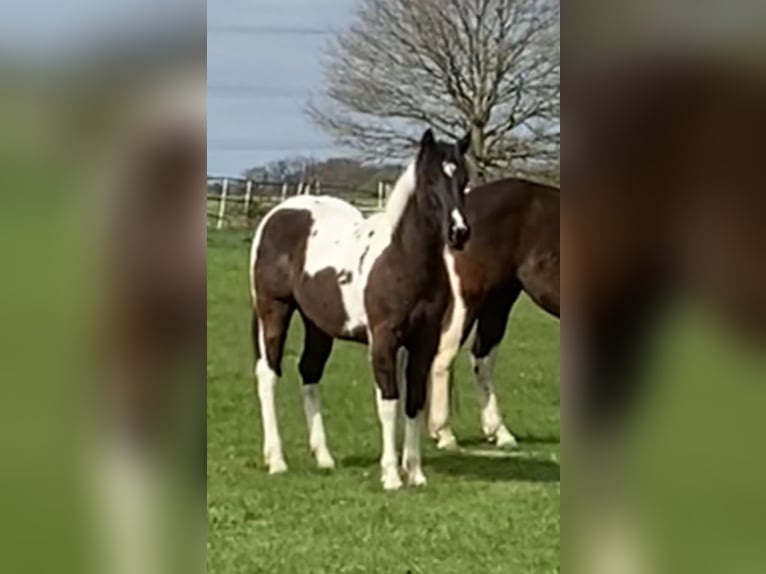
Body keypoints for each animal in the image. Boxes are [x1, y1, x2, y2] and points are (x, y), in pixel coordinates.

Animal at [250, 129, 471, 489]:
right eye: (430, 180)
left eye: (465, 179)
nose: (459, 233)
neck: (401, 259)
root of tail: (276, 214)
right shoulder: (383, 340)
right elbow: (389, 402)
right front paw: (391, 476)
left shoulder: (423, 342)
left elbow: (414, 401)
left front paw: (416, 474)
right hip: (274, 310)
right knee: (268, 373)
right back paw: (277, 461)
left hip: (317, 325)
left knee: (309, 373)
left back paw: (324, 458)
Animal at [426, 178, 560, 450]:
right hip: (468, 300)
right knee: (445, 355)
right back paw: (445, 434)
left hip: (499, 299)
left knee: (482, 357)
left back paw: (499, 432)